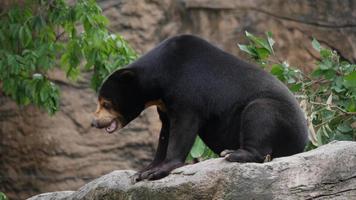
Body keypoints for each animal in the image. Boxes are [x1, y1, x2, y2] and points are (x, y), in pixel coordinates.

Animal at [92, 34, 308, 181]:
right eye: (100, 102)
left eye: (106, 103)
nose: (94, 122)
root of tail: (303, 141)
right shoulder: (165, 105)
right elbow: (165, 133)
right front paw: (144, 170)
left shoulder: (188, 91)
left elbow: (182, 129)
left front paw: (157, 171)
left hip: (275, 112)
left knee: (259, 117)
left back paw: (232, 153)